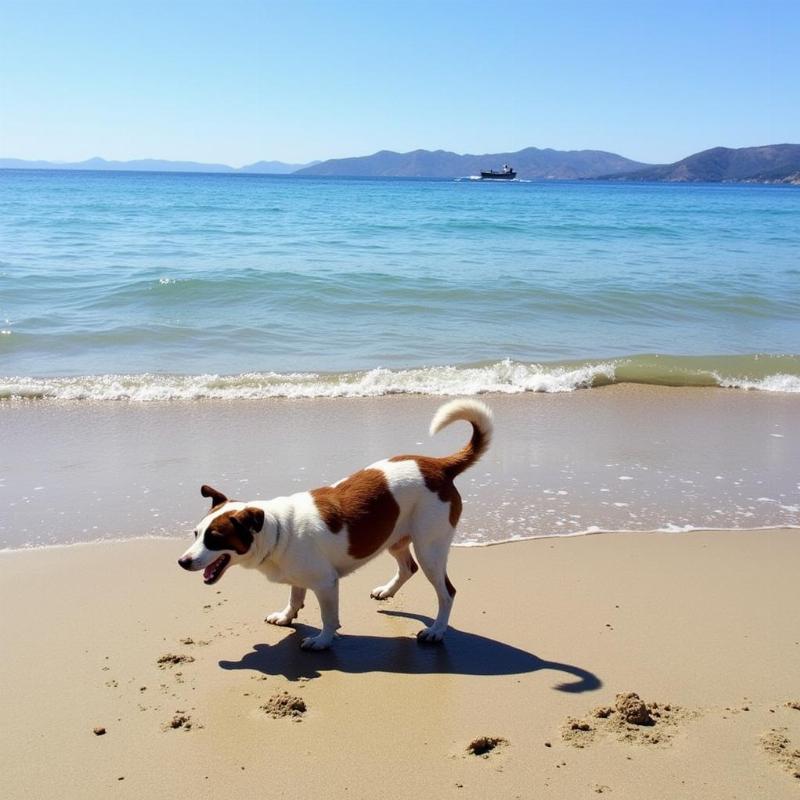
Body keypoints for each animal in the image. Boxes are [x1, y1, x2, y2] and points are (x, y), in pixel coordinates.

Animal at [177, 400, 490, 648]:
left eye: (215, 538)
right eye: (196, 534)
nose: (182, 562)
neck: (278, 530)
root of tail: (439, 465)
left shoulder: (326, 583)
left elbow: (328, 617)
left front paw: (323, 640)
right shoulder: (299, 577)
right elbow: (295, 597)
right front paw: (286, 616)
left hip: (430, 549)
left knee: (446, 592)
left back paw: (437, 630)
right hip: (395, 536)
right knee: (407, 568)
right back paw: (387, 591)